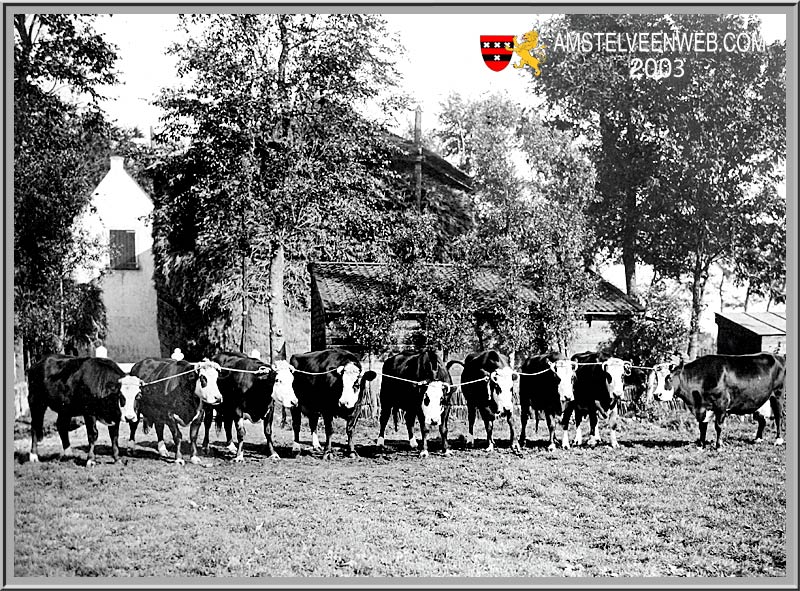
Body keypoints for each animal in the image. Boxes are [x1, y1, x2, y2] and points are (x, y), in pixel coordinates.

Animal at [648, 352, 784, 448]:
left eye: (669, 377)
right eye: (657, 378)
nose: (657, 395)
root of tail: (777, 356)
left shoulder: (722, 404)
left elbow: (718, 426)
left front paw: (718, 446)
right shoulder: (703, 407)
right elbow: (702, 426)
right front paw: (701, 445)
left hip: (777, 394)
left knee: (778, 416)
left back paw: (778, 440)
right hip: (760, 400)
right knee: (762, 420)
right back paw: (758, 439)